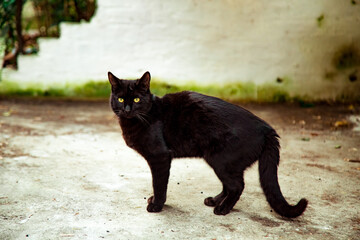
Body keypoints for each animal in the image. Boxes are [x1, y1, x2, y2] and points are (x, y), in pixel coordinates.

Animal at [107, 71, 306, 218]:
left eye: (137, 99)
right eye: (121, 99)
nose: (127, 109)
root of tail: (267, 128)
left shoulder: (160, 157)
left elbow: (159, 184)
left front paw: (157, 205)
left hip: (220, 160)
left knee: (237, 186)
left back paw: (223, 209)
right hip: (224, 163)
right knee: (230, 185)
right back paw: (215, 201)